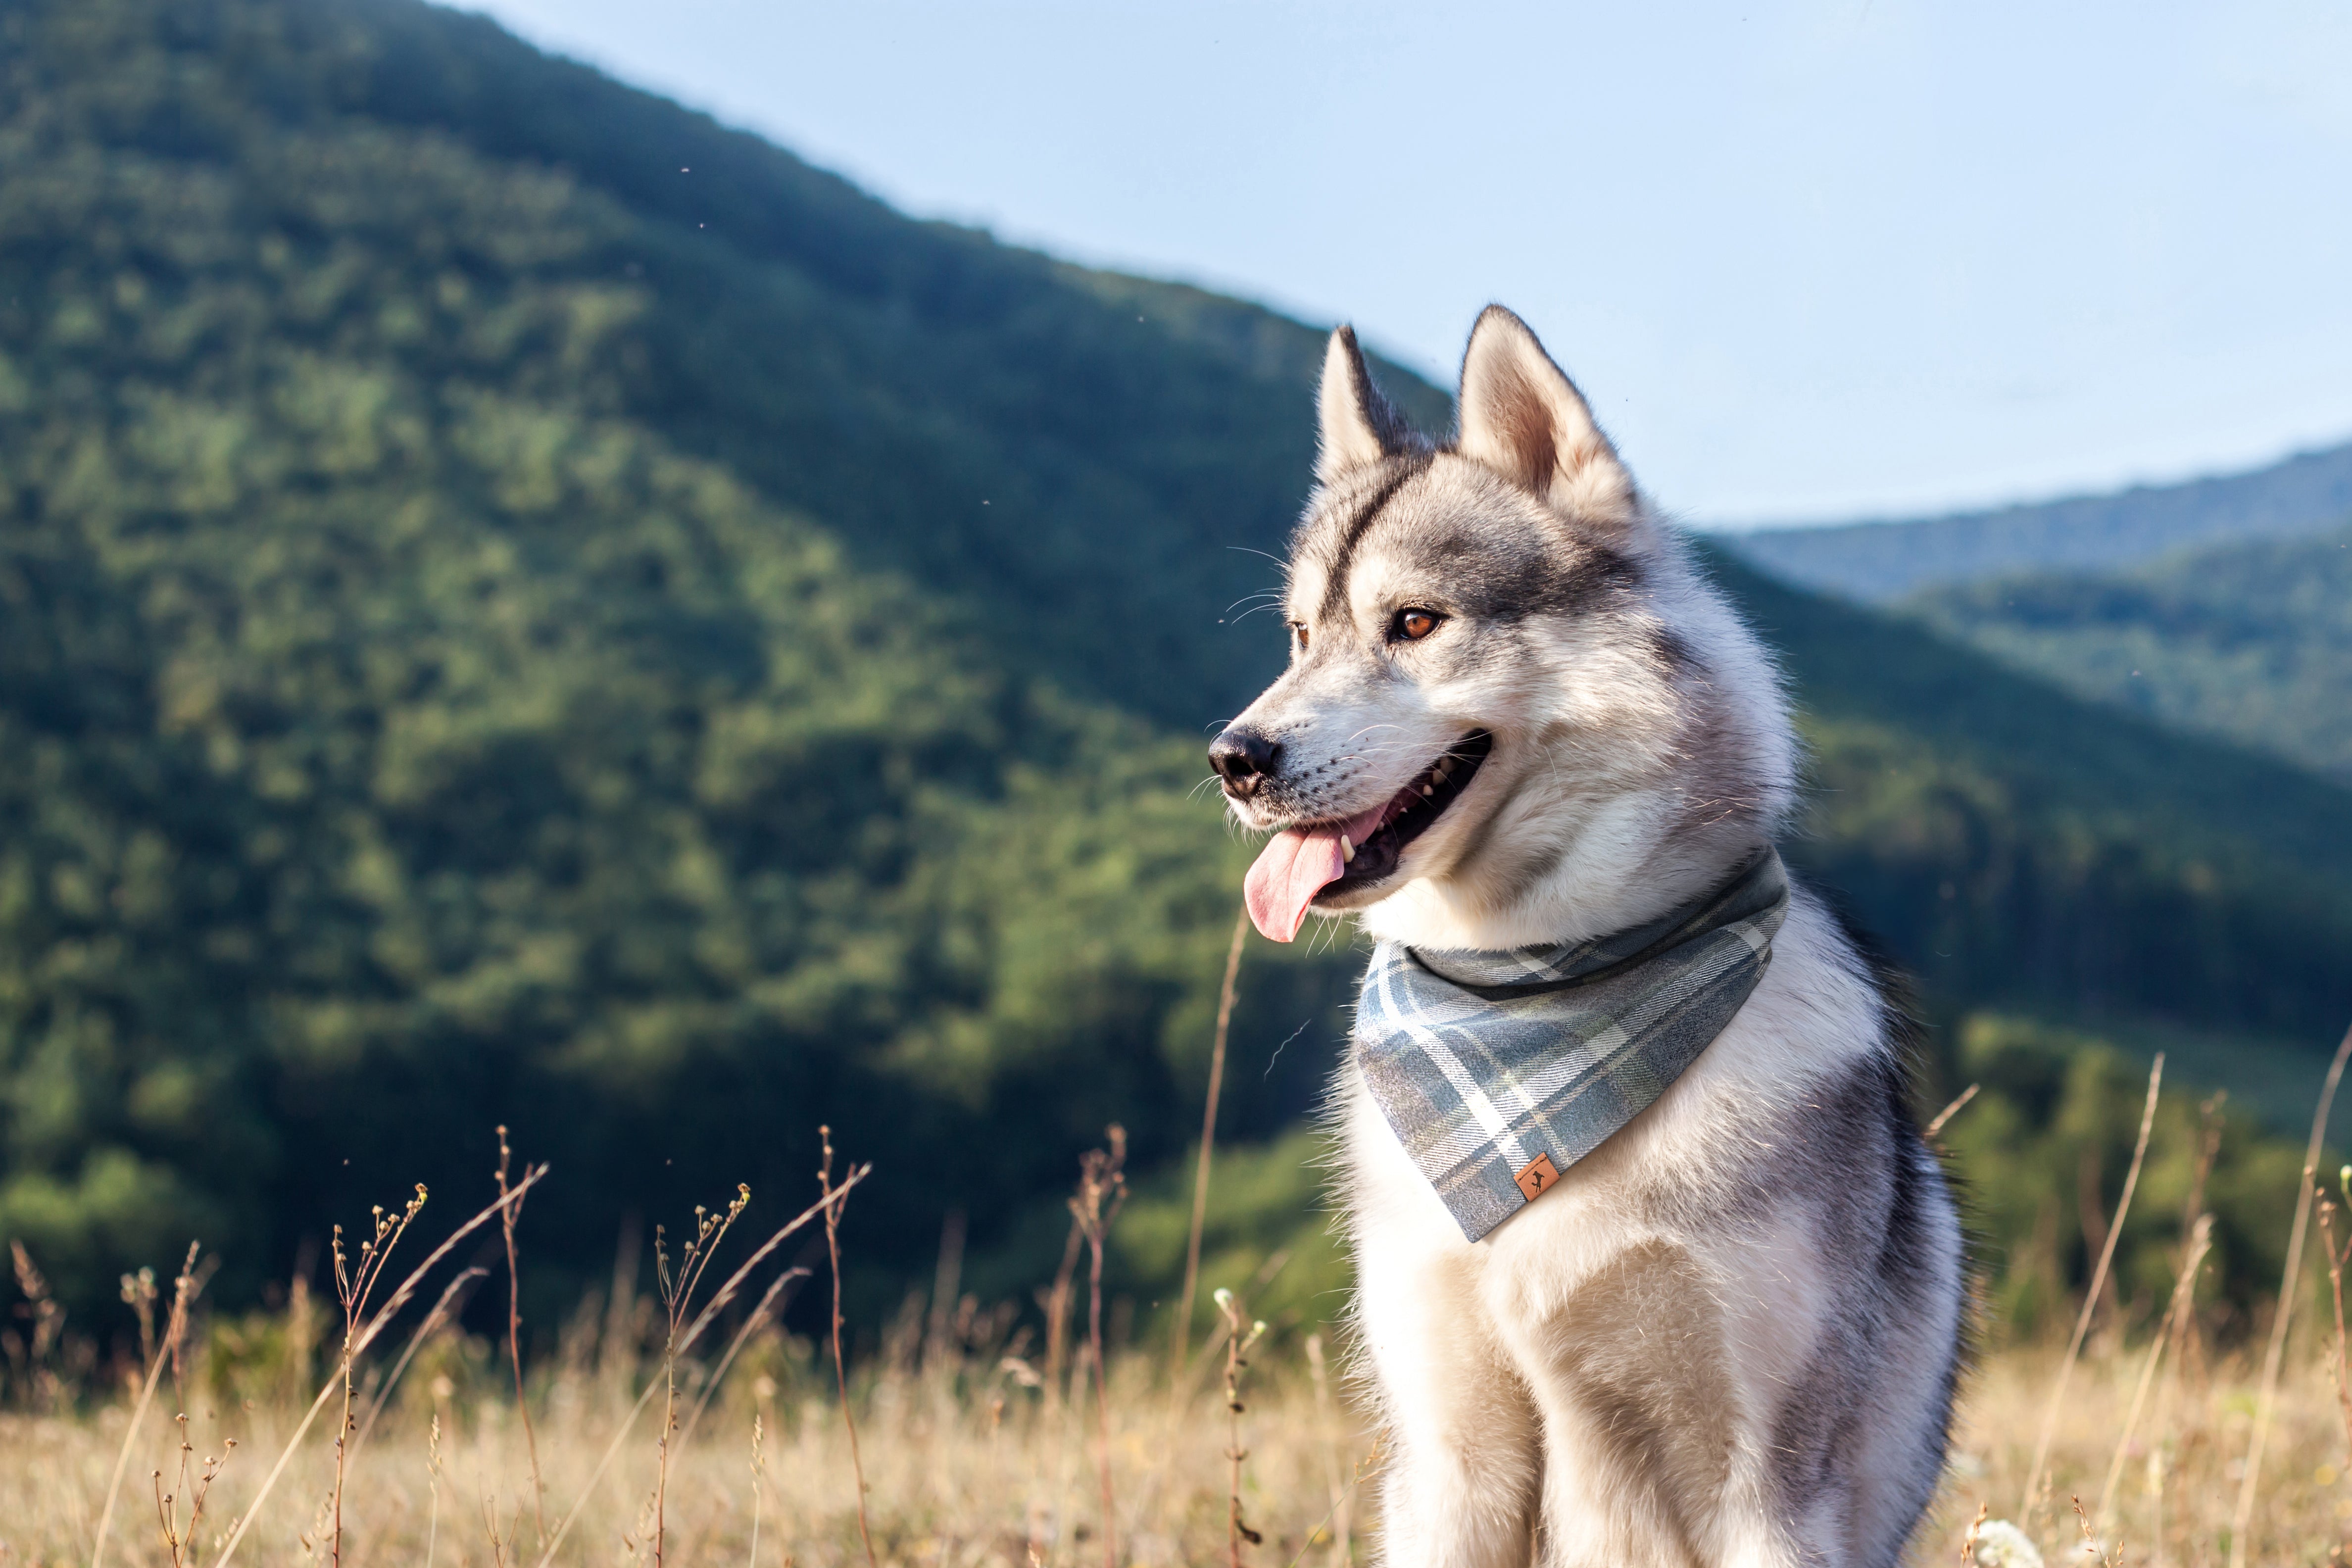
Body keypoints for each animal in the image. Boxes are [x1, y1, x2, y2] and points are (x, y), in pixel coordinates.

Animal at [1214, 310, 1966, 1568]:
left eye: (1414, 623)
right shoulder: (1449, 1463)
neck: (1536, 992)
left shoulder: (1769, 1488)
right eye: (1300, 636)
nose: (1232, 758)